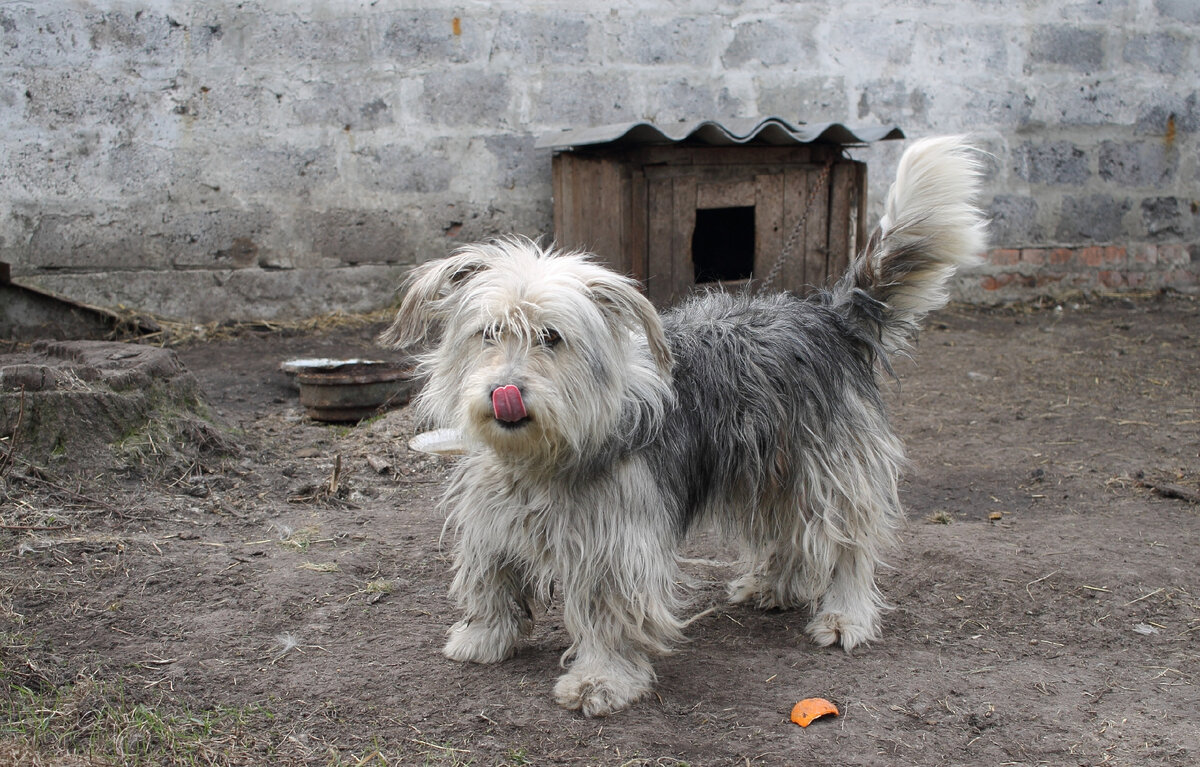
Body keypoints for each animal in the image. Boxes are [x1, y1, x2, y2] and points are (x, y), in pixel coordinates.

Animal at [381, 135, 984, 715]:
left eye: (551, 338)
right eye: (488, 333)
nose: (502, 393)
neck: (542, 455)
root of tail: (827, 316)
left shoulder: (615, 543)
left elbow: (609, 613)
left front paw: (603, 680)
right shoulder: (492, 516)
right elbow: (491, 576)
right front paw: (484, 637)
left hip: (828, 472)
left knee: (846, 543)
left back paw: (846, 615)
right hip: (767, 469)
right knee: (787, 532)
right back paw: (773, 586)